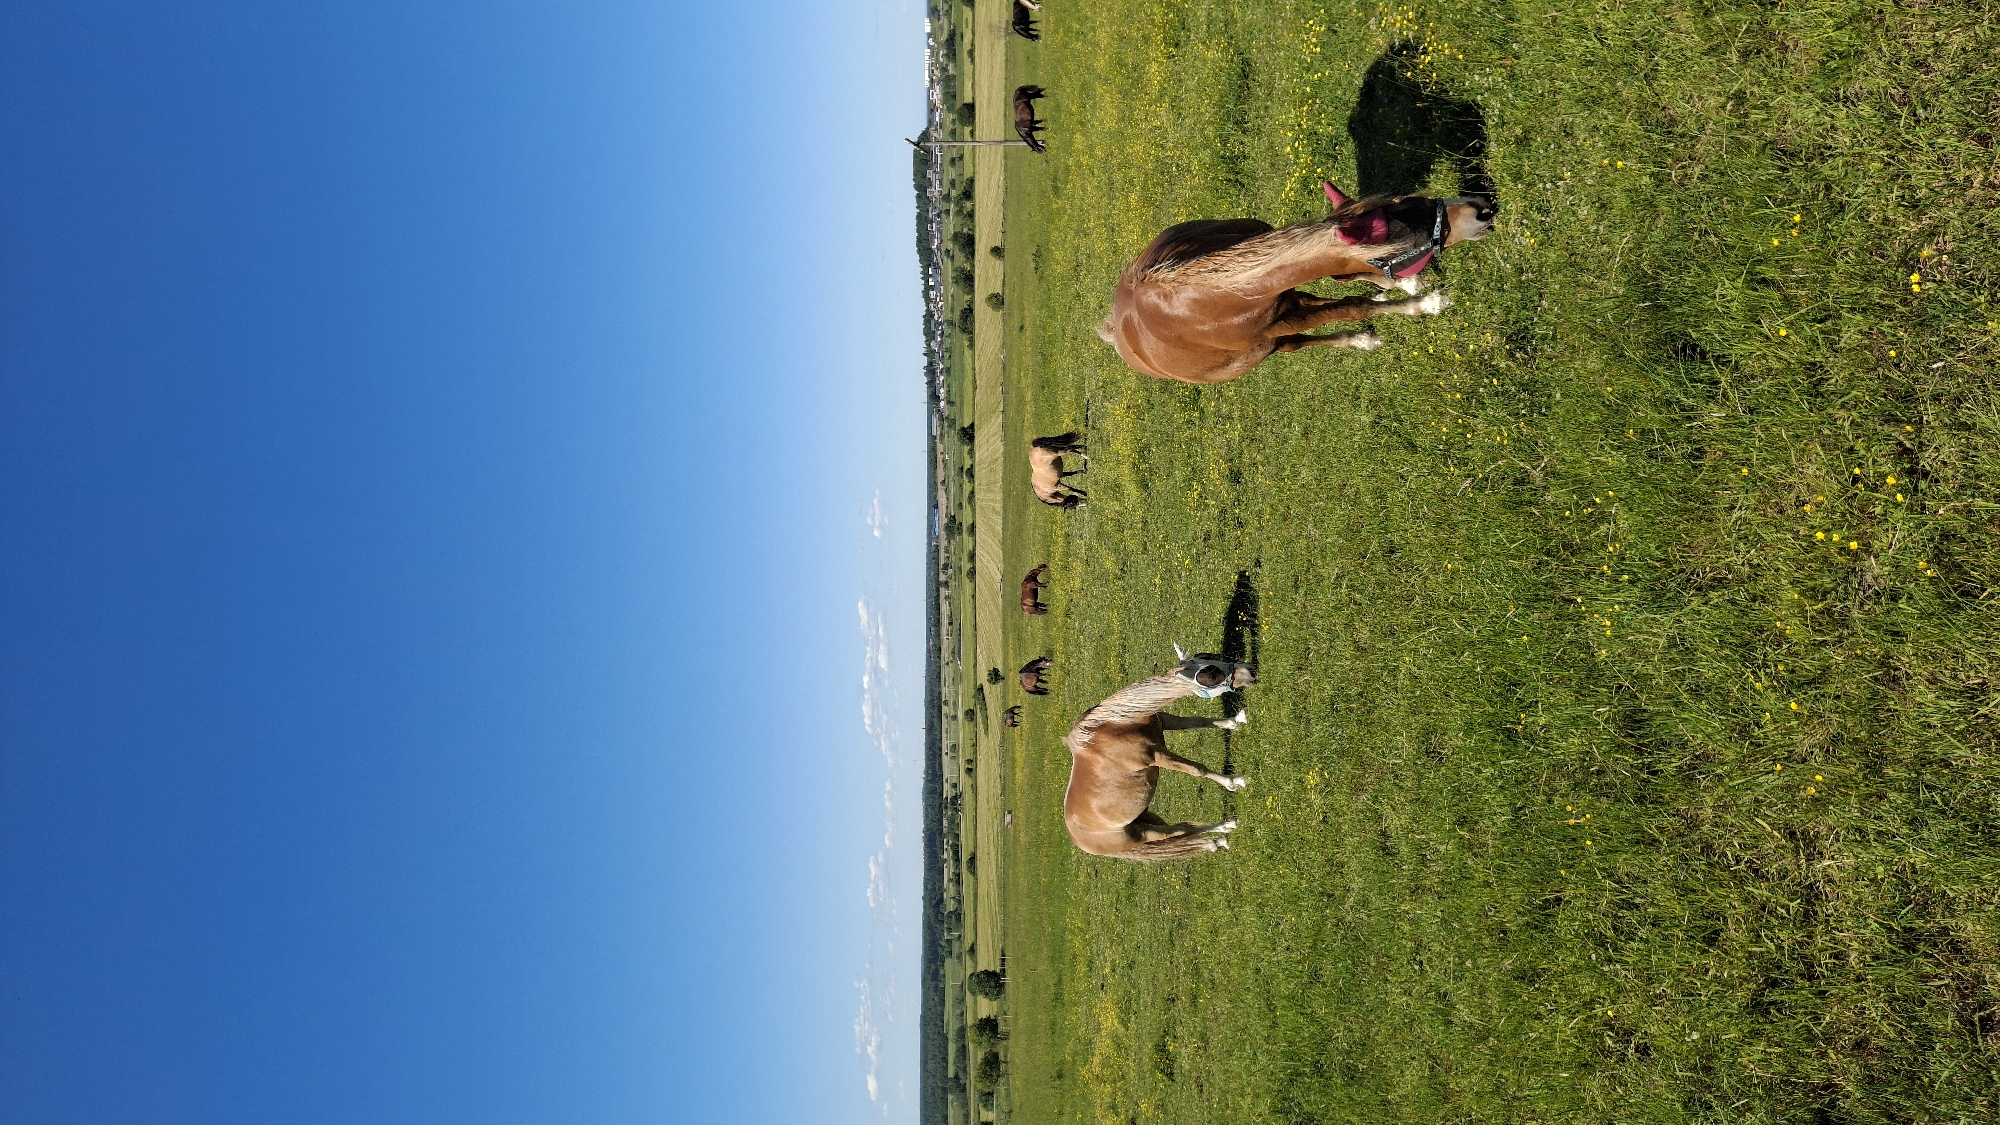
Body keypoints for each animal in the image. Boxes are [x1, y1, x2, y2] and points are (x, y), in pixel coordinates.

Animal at [1062, 650, 1253, 860]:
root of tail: (1077, 838)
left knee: (1184, 831)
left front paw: (1234, 721)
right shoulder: (1158, 756)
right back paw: (1223, 829)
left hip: (1145, 817)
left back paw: (1220, 836)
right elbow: (1198, 770)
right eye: (1210, 675)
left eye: (1210, 660)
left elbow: (1198, 721)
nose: (1249, 672)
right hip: (1145, 833)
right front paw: (1232, 782)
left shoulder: (1163, 720)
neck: (1113, 726)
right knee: (1181, 830)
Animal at [1099, 184, 1497, 383]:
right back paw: (1361, 338)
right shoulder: (1280, 321)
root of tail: (1115, 335)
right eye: (1408, 240)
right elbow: (1354, 306)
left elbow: (1344, 287)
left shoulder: (1283, 294)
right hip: (1265, 346)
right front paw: (1426, 303)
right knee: (1299, 341)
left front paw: (1409, 291)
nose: (1482, 208)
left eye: (1408, 199)